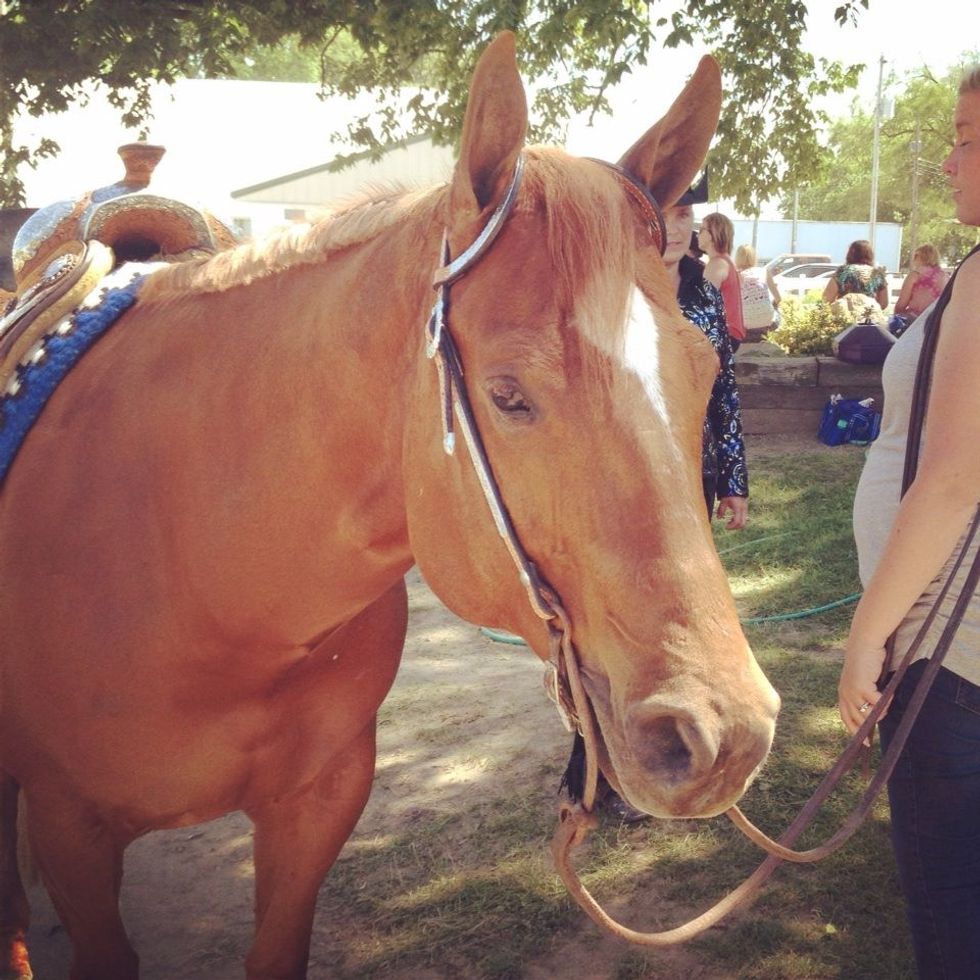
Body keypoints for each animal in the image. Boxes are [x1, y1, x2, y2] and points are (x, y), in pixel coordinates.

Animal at [0, 33, 779, 980]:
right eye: (508, 396)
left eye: (704, 370)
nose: (723, 734)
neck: (195, 567)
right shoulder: (69, 830)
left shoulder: (316, 809)